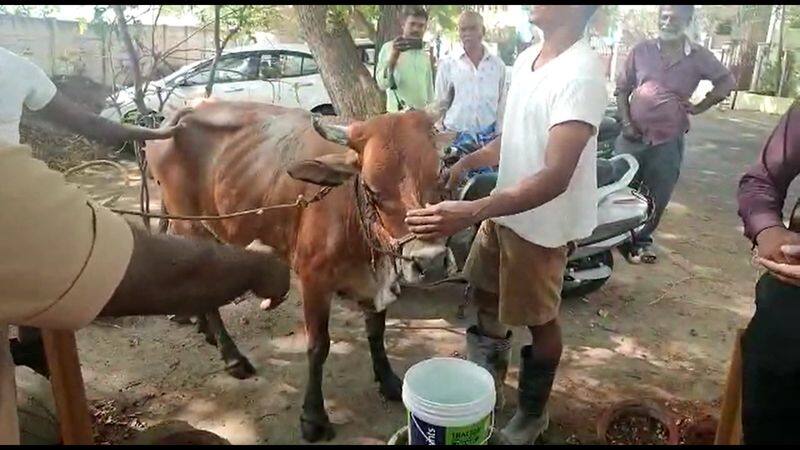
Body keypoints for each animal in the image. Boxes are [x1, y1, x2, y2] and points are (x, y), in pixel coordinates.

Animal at [144, 100, 456, 442]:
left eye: (442, 174)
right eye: (371, 189)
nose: (430, 261)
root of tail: (182, 114)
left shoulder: (374, 282)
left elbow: (376, 331)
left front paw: (387, 381)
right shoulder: (313, 280)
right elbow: (318, 347)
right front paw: (313, 417)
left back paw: (203, 328)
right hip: (191, 223)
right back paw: (232, 356)